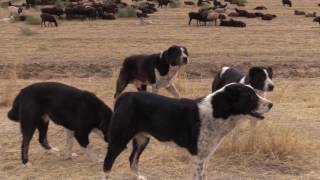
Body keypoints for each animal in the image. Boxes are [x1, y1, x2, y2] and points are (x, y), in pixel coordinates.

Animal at [102, 83, 272, 180]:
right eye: (250, 96)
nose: (271, 104)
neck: (215, 113)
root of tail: (124, 96)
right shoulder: (198, 158)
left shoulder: (205, 156)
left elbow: (204, 176)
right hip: (119, 140)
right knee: (107, 163)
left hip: (142, 139)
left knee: (133, 160)